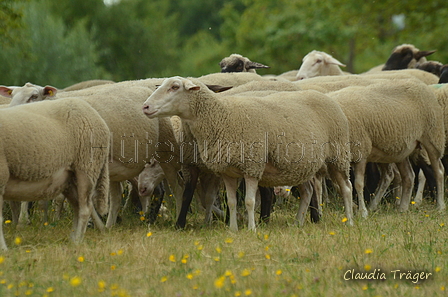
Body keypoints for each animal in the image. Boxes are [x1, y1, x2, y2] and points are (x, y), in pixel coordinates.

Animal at [0, 98, 110, 249]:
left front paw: (3, 249)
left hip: (86, 166)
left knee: (85, 209)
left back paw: (77, 241)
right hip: (69, 178)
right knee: (77, 207)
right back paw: (72, 240)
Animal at [142, 75, 356, 230]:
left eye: (174, 87)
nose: (145, 107)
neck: (222, 117)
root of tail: (325, 97)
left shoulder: (252, 167)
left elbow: (249, 201)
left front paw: (252, 228)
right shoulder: (227, 172)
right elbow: (232, 202)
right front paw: (233, 230)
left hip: (338, 155)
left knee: (346, 188)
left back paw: (350, 221)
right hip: (300, 165)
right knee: (308, 191)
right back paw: (298, 223)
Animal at [326, 77, 444, 214]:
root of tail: (420, 83)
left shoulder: (362, 151)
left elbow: (358, 184)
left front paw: (362, 212)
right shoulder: (336, 161)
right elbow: (340, 185)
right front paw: (355, 207)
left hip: (433, 137)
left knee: (438, 171)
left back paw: (440, 206)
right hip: (401, 150)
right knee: (408, 176)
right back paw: (402, 208)